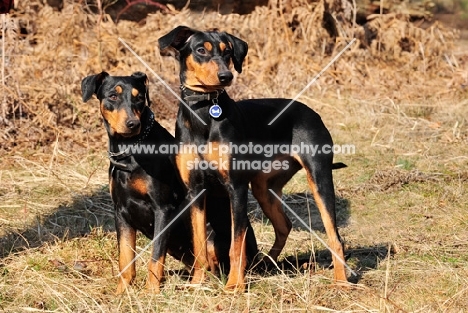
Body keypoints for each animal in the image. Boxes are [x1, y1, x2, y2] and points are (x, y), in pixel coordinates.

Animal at [82, 70, 262, 292]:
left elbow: (156, 255)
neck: (130, 151)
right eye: (113, 96)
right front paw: (121, 293)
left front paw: (151, 291)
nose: (133, 124)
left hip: (213, 234)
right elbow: (125, 260)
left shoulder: (163, 208)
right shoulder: (121, 211)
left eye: (139, 98)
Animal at [159, 26, 350, 290]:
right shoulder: (195, 191)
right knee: (284, 225)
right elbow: (199, 245)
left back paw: (340, 281)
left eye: (227, 52)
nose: (226, 76)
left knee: (335, 237)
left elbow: (236, 244)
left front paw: (234, 285)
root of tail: (312, 113)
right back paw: (265, 264)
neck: (204, 114)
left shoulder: (236, 188)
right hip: (264, 187)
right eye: (200, 50)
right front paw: (197, 283)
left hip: (319, 178)